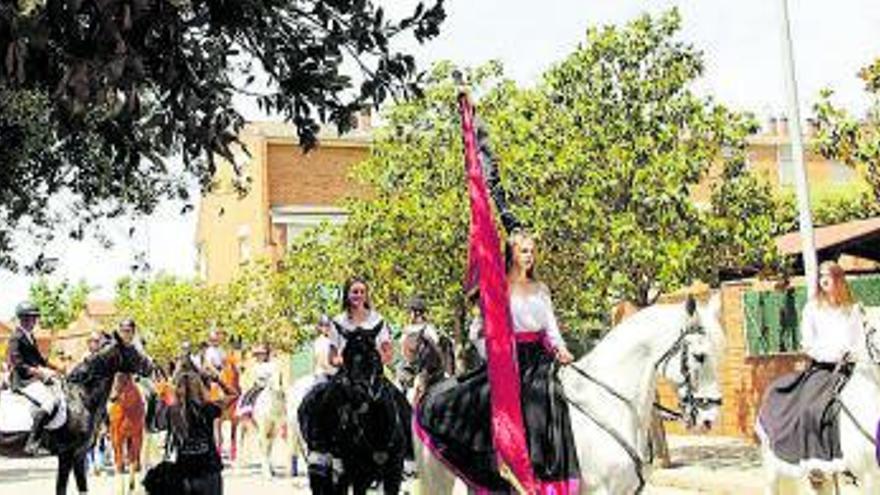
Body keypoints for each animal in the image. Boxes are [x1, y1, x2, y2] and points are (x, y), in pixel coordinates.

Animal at [0, 334, 155, 495]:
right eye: (131, 350)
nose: (151, 366)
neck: (81, 397)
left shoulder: (79, 455)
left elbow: (83, 488)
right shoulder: (67, 454)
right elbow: (61, 488)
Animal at [300, 322, 412, 495]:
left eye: (374, 356)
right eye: (345, 356)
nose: (358, 394)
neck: (377, 430)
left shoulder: (394, 472)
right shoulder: (359, 475)